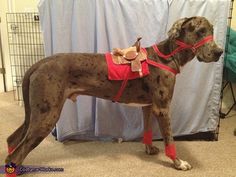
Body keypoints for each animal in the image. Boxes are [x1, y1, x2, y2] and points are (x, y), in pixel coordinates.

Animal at [6, 17, 223, 171]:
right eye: (200, 31)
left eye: (212, 30)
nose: (220, 52)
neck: (166, 56)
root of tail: (39, 63)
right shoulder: (162, 108)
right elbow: (169, 139)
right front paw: (178, 163)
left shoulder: (148, 106)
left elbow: (147, 130)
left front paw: (149, 149)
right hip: (47, 115)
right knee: (16, 153)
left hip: (35, 114)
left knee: (12, 142)